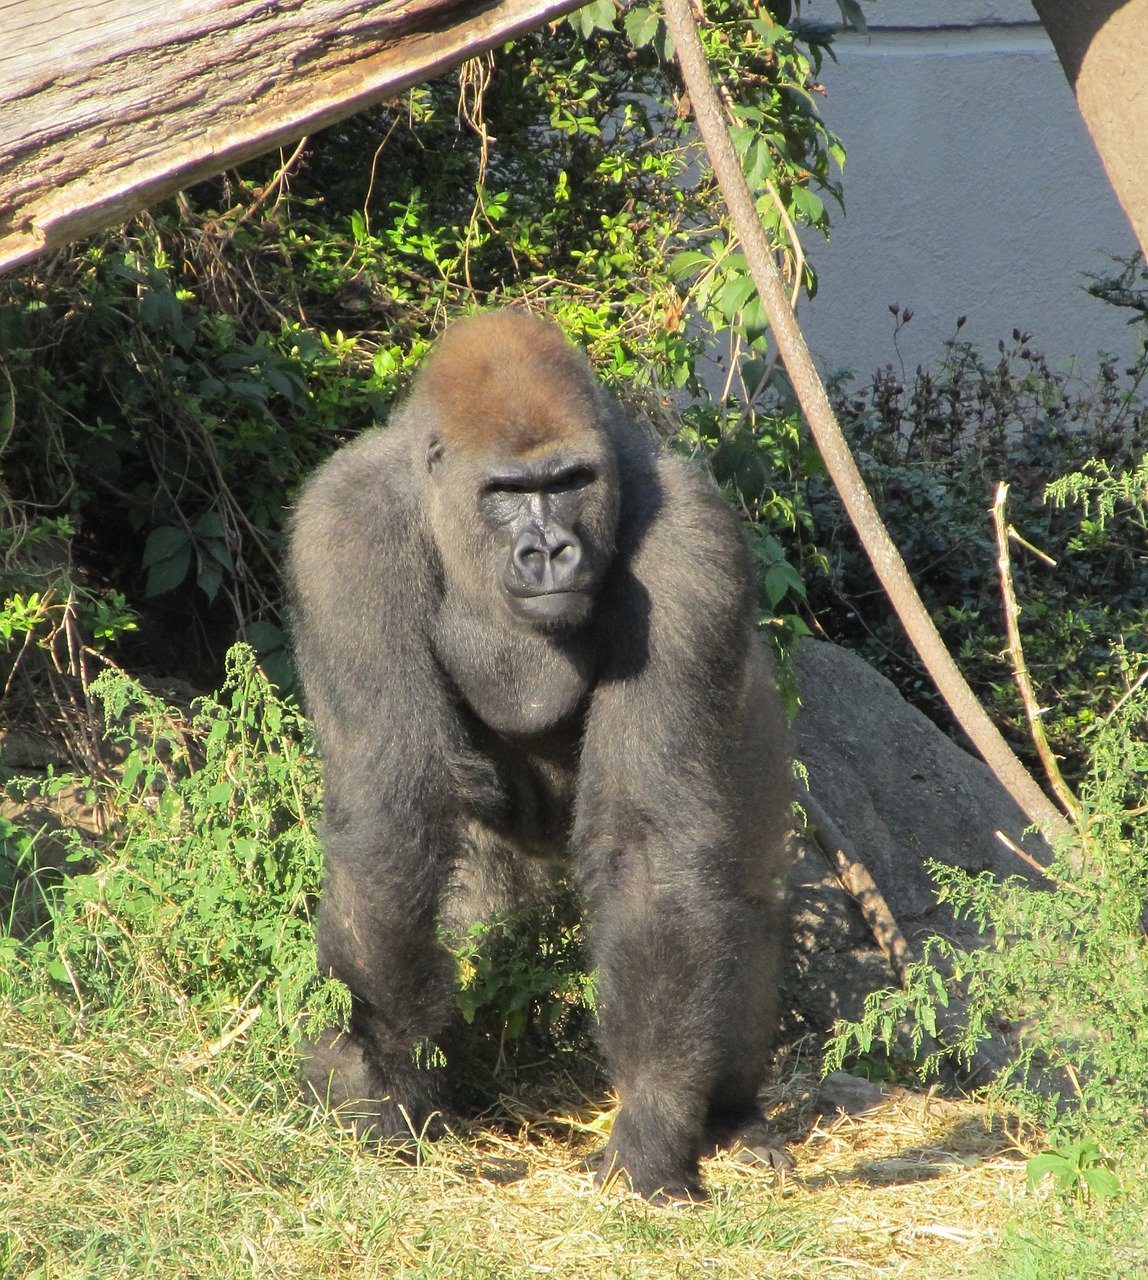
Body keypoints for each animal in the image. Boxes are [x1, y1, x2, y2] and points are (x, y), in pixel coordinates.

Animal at [287, 308, 793, 1201]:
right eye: (506, 494)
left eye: (569, 481)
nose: (551, 549)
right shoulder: (343, 534)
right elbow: (392, 817)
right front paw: (379, 1077)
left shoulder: (691, 546)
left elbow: (649, 846)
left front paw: (655, 1123)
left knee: (736, 897)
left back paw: (732, 1114)